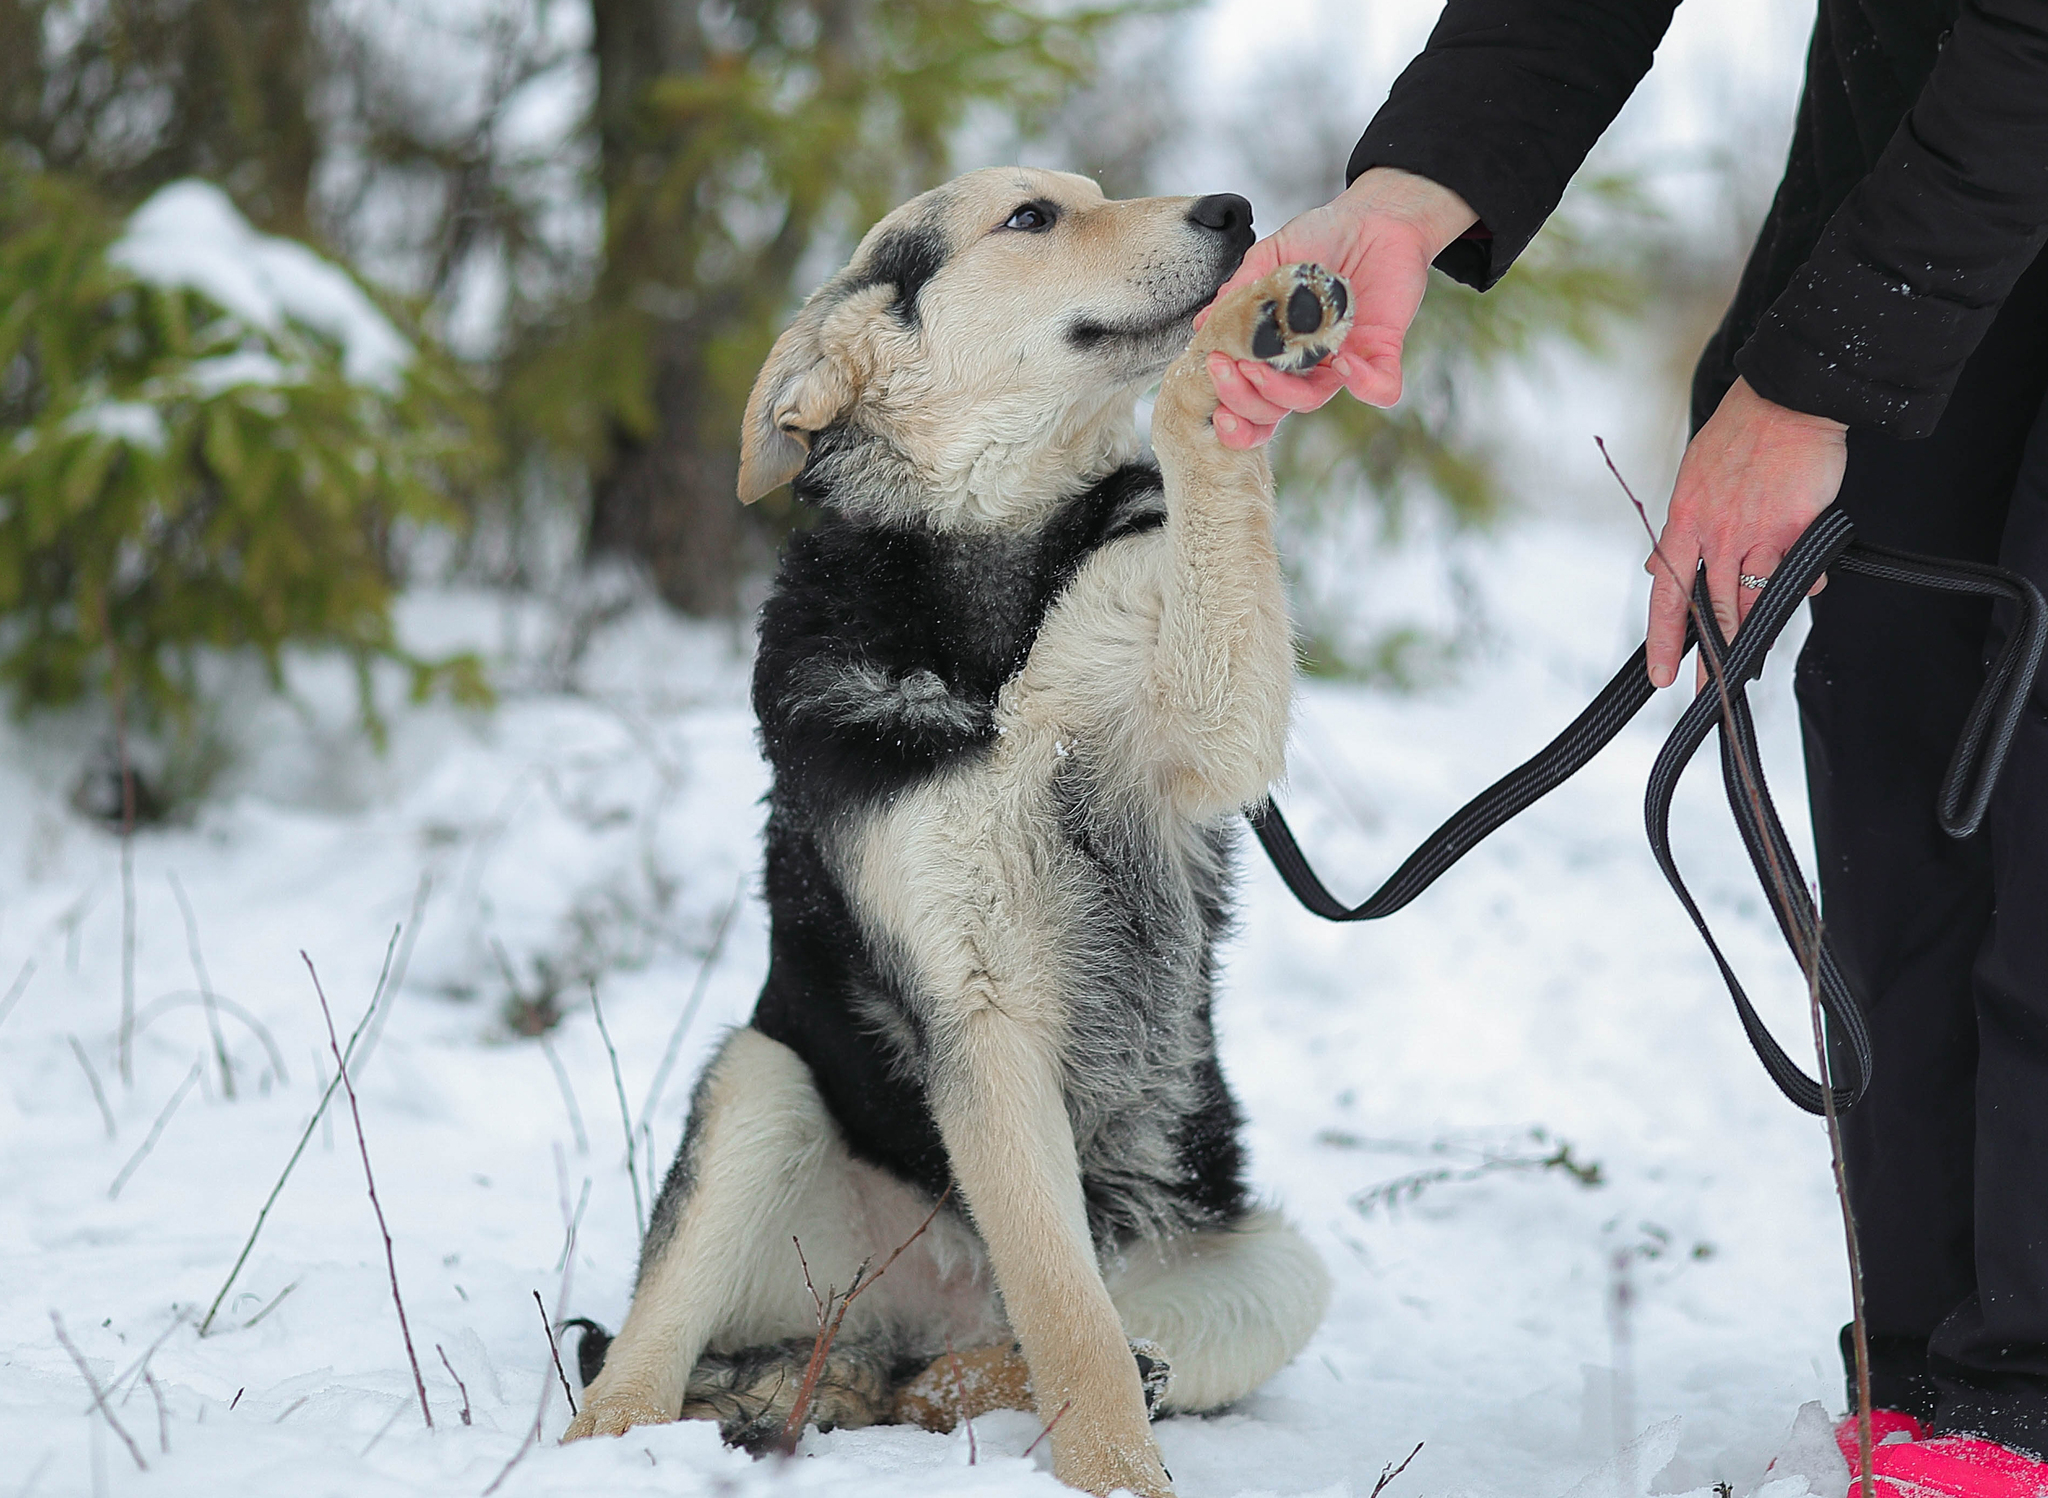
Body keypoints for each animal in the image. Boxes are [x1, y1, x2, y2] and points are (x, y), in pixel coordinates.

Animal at [565, 167, 1359, 1498]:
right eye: (1031, 218)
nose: (1233, 211)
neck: (997, 609)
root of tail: (907, 1315)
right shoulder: (978, 1015)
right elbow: (1065, 1311)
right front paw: (1119, 1476)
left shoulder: (1201, 728)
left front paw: (1256, 337)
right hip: (759, 1083)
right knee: (633, 1366)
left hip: (1275, 1271)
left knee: (972, 1365)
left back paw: (978, 1382)